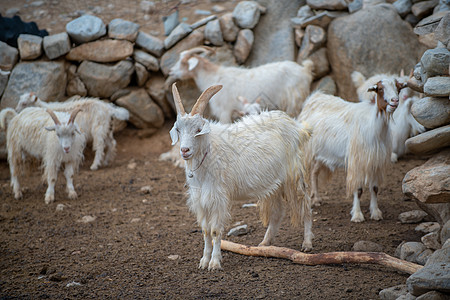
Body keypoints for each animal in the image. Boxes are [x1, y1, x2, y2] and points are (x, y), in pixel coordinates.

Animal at [168, 45, 312, 123]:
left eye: (183, 62)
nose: (171, 71)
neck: (212, 77)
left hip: (294, 102)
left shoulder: (225, 112)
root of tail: (304, 70)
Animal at [169, 83, 312, 270]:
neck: (210, 151)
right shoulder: (200, 200)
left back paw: (307, 243)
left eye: (198, 130)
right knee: (277, 212)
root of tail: (296, 126)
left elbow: (215, 231)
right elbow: (205, 231)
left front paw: (214, 263)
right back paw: (265, 244)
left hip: (294, 175)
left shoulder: (218, 198)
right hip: (274, 182)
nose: (184, 150)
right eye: (178, 129)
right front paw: (204, 261)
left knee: (306, 204)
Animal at [298, 77, 406, 223]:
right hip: (307, 151)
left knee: (314, 172)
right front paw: (357, 215)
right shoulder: (357, 161)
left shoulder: (375, 160)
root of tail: (313, 98)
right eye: (380, 89)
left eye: (398, 88)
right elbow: (358, 190)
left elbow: (375, 188)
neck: (373, 126)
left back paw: (317, 199)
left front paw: (376, 213)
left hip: (321, 154)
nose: (394, 101)